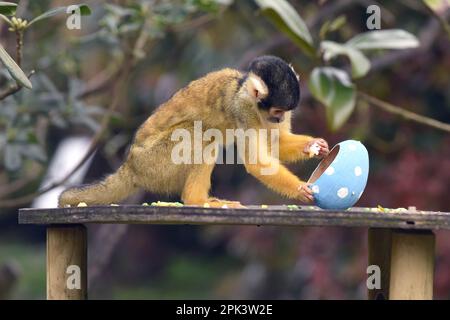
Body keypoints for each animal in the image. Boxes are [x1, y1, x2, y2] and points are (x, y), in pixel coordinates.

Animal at [59, 55, 326, 208]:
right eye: (277, 110)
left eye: (285, 112)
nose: (279, 118)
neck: (244, 91)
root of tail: (130, 166)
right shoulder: (242, 109)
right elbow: (258, 162)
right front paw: (300, 189)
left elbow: (276, 141)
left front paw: (315, 146)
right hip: (154, 163)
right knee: (201, 134)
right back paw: (196, 200)